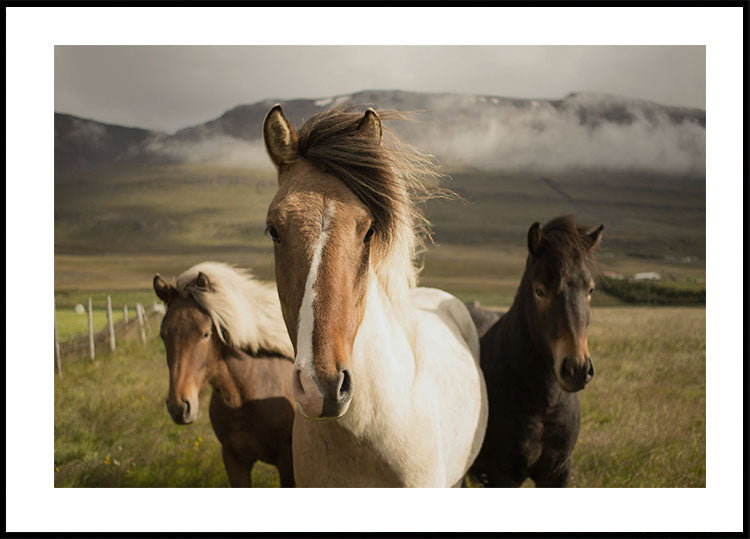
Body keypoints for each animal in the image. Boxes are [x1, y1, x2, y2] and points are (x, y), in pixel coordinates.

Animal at [467, 216, 603, 487]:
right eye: (540, 291)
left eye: (590, 290)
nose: (577, 369)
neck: (544, 406)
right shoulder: (503, 477)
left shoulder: (558, 472)